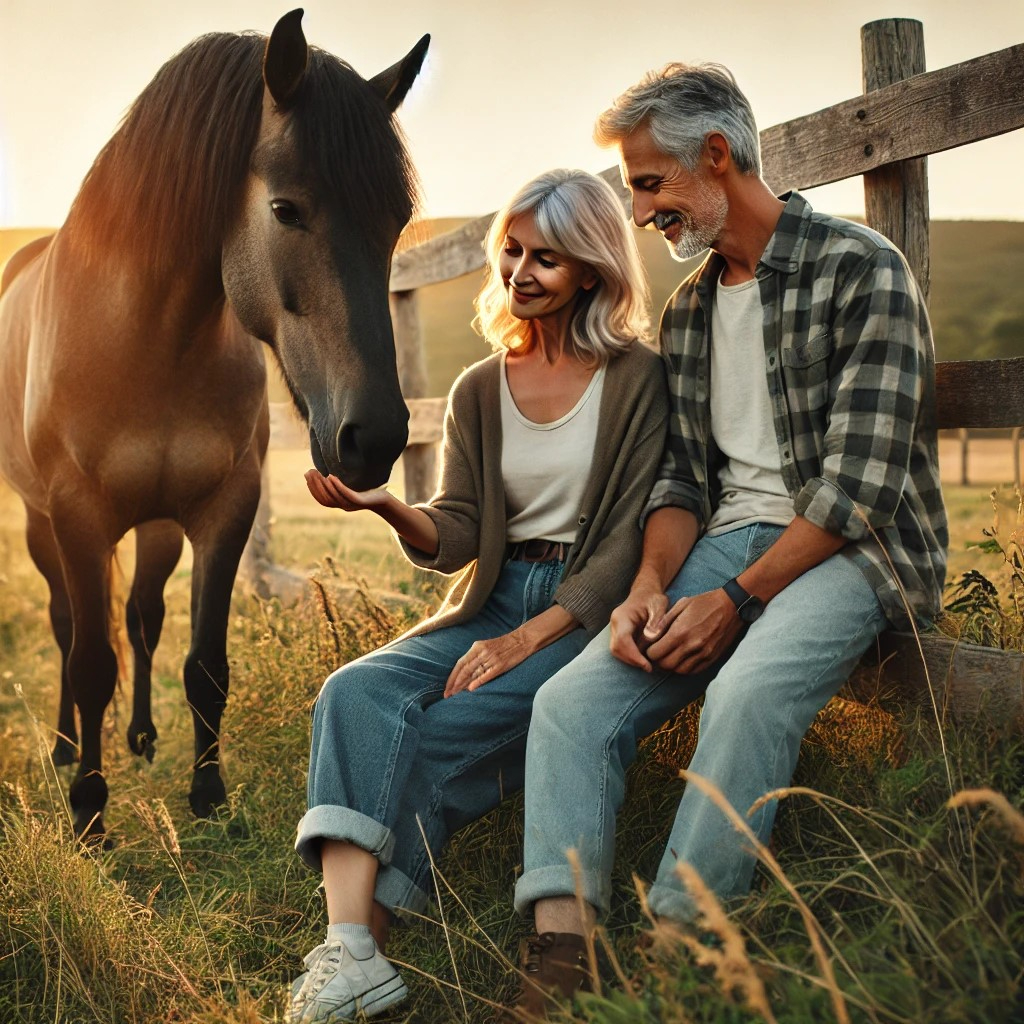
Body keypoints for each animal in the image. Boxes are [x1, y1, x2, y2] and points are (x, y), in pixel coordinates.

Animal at [0, 9, 428, 843]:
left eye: (396, 220)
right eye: (286, 209)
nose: (375, 437)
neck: (147, 341)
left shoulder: (222, 509)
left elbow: (202, 662)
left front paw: (209, 795)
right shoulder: (78, 518)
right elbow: (90, 661)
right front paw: (90, 812)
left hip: (159, 527)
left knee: (143, 617)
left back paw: (139, 736)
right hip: (42, 525)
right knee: (71, 627)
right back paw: (69, 749)